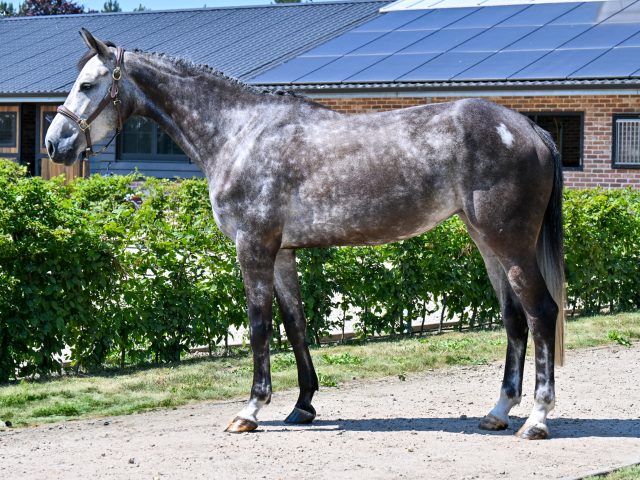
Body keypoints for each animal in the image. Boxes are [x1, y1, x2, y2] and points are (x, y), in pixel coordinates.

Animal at [46, 29, 565, 440]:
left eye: (87, 85)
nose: (55, 144)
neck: (240, 134)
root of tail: (532, 129)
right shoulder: (282, 253)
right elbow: (295, 324)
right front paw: (303, 405)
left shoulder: (253, 247)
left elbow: (259, 325)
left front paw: (251, 410)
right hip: (487, 243)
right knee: (514, 319)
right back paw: (498, 411)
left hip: (510, 244)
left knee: (541, 313)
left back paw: (536, 419)